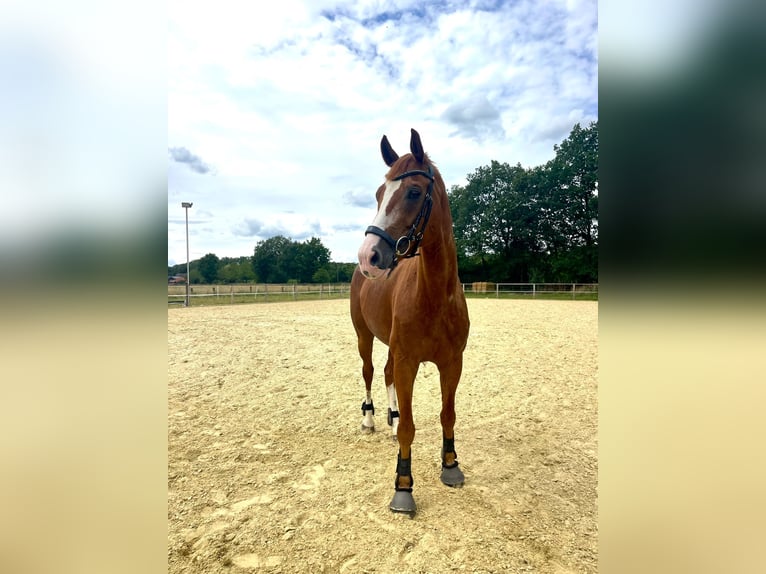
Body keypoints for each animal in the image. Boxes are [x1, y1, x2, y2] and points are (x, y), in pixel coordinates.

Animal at [352, 130, 472, 516]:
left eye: (414, 192)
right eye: (379, 194)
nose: (369, 256)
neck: (433, 296)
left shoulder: (452, 363)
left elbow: (447, 414)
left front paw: (451, 465)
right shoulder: (408, 361)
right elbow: (409, 426)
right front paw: (403, 487)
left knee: (386, 374)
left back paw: (388, 418)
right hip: (364, 336)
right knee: (369, 372)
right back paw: (371, 419)